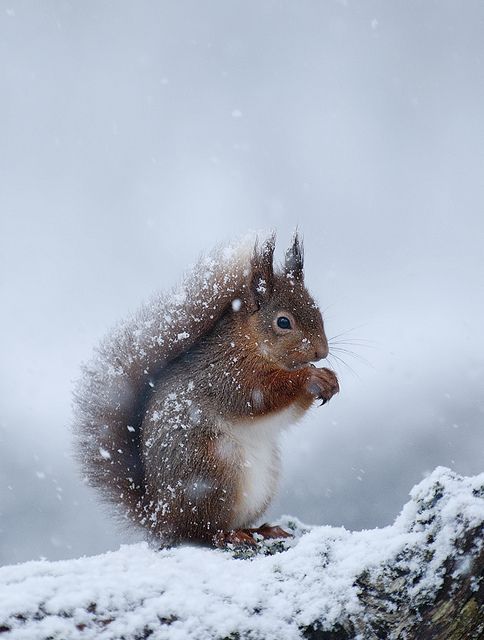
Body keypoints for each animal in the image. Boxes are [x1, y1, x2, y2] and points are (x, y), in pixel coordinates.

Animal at [73, 232, 338, 548]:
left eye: (318, 311)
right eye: (283, 322)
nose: (322, 352)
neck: (249, 342)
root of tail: (160, 517)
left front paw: (330, 379)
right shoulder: (229, 374)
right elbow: (261, 395)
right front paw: (310, 376)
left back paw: (262, 530)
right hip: (213, 472)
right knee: (201, 531)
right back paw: (229, 535)